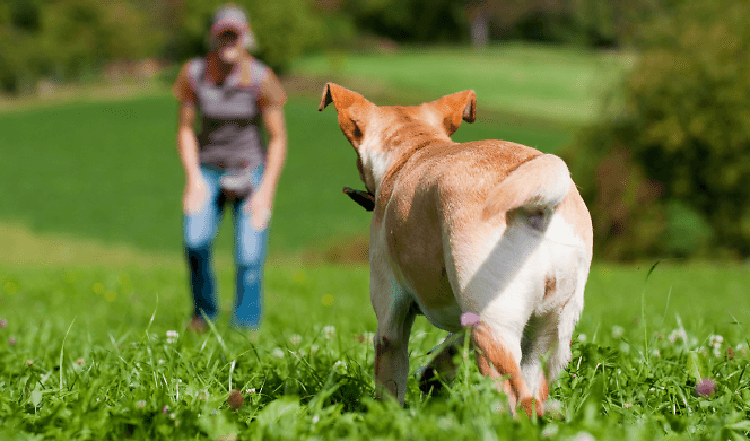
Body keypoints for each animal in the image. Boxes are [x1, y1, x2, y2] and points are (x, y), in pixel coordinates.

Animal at [320, 82, 596, 416]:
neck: (415, 149)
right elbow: (452, 342)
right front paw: (433, 373)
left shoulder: (390, 314)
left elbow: (389, 378)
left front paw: (387, 419)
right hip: (549, 335)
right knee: (533, 391)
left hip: (493, 328)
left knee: (516, 397)